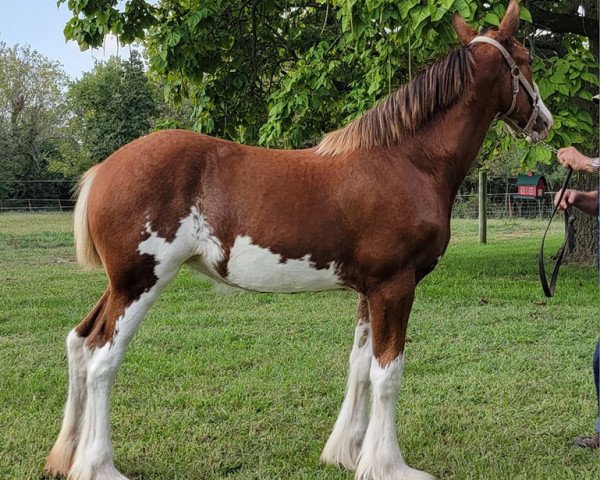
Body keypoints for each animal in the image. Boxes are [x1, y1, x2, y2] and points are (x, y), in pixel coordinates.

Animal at [45, 1, 552, 478]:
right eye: (526, 60)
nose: (544, 122)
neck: (409, 161)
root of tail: (104, 169)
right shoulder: (395, 286)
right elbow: (388, 374)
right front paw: (387, 465)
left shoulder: (369, 291)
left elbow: (360, 367)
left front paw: (347, 454)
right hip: (140, 282)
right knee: (103, 360)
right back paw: (98, 465)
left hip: (119, 284)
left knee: (80, 342)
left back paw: (66, 456)